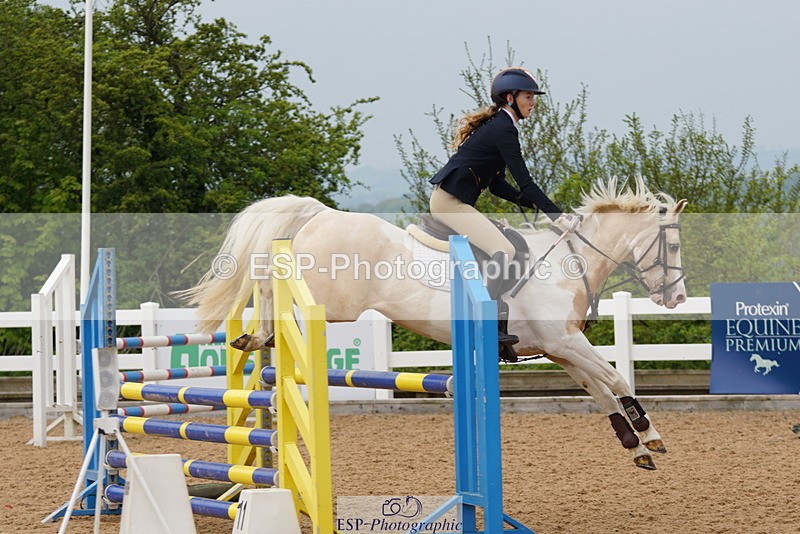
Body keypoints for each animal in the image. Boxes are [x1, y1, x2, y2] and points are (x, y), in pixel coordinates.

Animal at [184, 176, 688, 470]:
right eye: (673, 246)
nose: (677, 298)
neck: (570, 261)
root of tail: (322, 214)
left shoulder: (558, 347)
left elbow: (600, 389)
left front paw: (635, 446)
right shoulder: (565, 342)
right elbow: (617, 378)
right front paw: (651, 435)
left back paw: (255, 337)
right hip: (329, 300)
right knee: (274, 291)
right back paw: (261, 333)